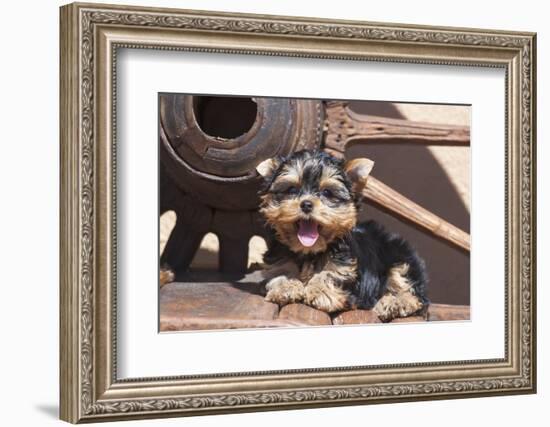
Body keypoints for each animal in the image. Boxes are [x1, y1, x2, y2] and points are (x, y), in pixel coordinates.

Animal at [256, 150, 430, 320]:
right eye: (291, 190)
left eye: (327, 192)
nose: (306, 204)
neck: (309, 251)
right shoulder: (278, 262)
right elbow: (281, 272)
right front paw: (286, 286)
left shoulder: (347, 271)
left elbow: (329, 274)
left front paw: (320, 291)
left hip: (400, 258)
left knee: (414, 294)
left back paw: (395, 302)